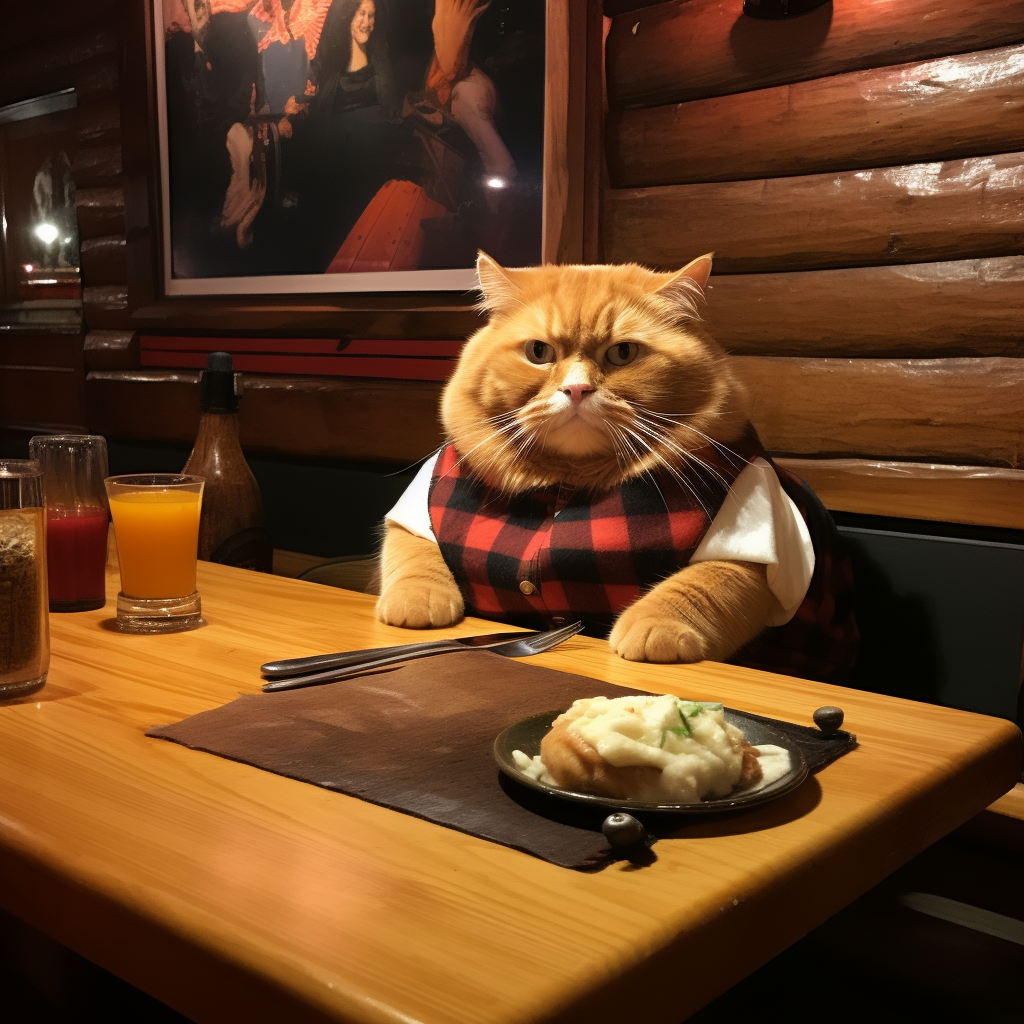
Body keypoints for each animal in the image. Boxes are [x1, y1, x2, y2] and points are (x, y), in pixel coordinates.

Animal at [376, 252, 856, 679]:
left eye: (623, 353)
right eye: (538, 352)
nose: (577, 389)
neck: (566, 482)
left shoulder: (752, 545)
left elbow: (701, 582)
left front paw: (656, 626)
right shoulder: (413, 517)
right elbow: (414, 558)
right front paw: (415, 603)